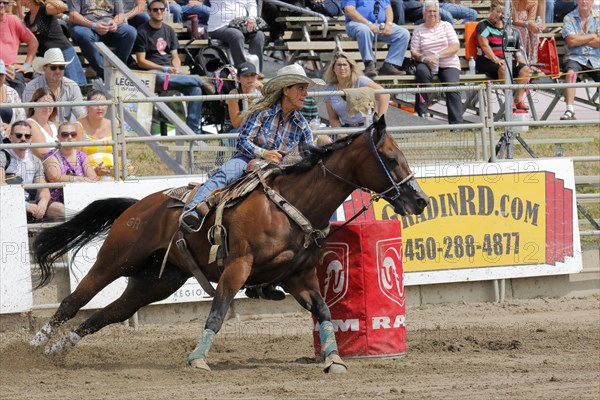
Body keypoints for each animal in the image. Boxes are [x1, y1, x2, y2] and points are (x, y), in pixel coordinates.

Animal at [30, 115, 428, 372]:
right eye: (390, 158)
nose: (421, 200)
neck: (290, 205)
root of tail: (138, 204)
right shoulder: (237, 266)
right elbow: (218, 313)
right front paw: (198, 359)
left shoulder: (299, 276)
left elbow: (325, 312)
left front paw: (334, 359)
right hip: (116, 259)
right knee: (73, 301)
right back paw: (34, 345)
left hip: (155, 282)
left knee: (106, 315)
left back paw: (57, 351)